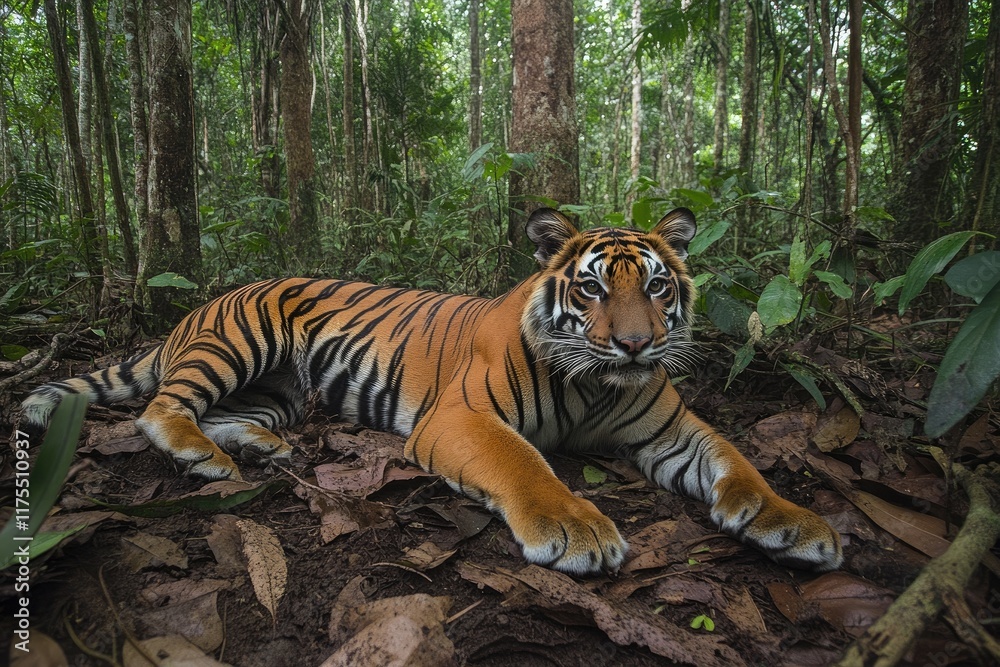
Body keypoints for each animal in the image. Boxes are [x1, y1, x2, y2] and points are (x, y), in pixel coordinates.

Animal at [21, 207, 843, 575]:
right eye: (592, 287)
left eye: (658, 286)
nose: (637, 345)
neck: (598, 387)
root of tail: (200, 306)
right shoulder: (461, 417)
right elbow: (524, 464)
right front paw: (577, 527)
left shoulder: (675, 430)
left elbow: (739, 463)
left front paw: (798, 523)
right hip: (240, 340)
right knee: (162, 406)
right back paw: (202, 458)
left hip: (281, 388)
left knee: (228, 414)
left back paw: (255, 447)